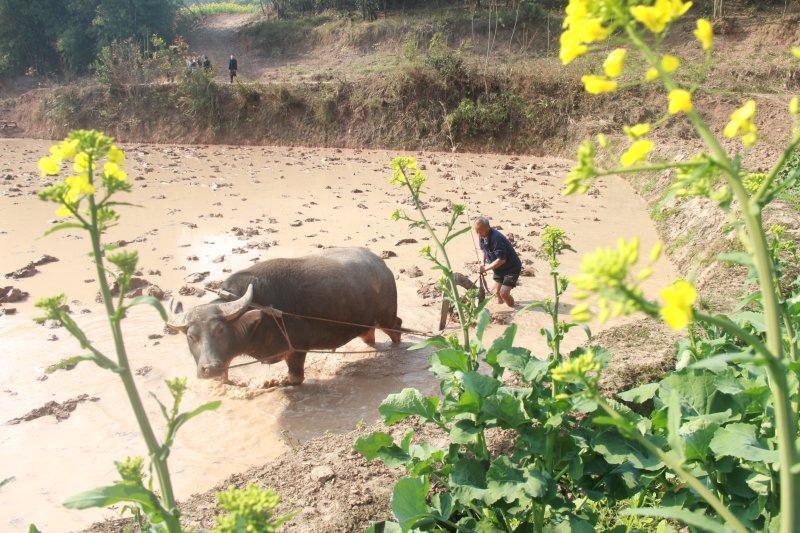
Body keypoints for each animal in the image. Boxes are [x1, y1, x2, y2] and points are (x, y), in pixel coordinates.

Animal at [166, 247, 404, 384]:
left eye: (220, 330)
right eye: (191, 336)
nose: (210, 368)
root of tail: (382, 265)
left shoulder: (297, 350)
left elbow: (294, 379)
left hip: (387, 317)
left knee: (397, 327)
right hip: (365, 324)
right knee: (369, 336)